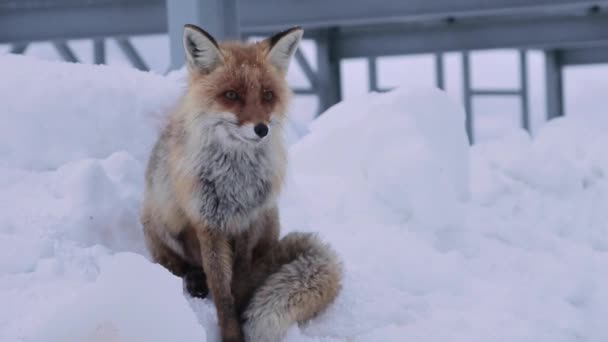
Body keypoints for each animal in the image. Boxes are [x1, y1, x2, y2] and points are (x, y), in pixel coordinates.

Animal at [140, 24, 344, 342]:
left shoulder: (250, 220)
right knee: (177, 264)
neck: (235, 180)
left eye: (268, 95)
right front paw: (230, 332)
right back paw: (193, 279)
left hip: (270, 219)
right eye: (231, 95)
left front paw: (242, 314)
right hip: (161, 220)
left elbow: (241, 280)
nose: (262, 129)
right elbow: (222, 292)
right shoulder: (207, 225)